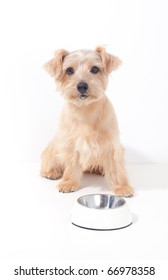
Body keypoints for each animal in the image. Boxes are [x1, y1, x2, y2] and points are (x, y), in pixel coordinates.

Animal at [40, 46, 134, 197]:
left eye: (95, 69)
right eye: (69, 70)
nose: (82, 86)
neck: (86, 109)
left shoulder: (111, 145)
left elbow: (116, 168)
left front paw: (122, 187)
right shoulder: (70, 143)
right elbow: (71, 164)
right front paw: (68, 183)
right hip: (52, 150)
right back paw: (51, 172)